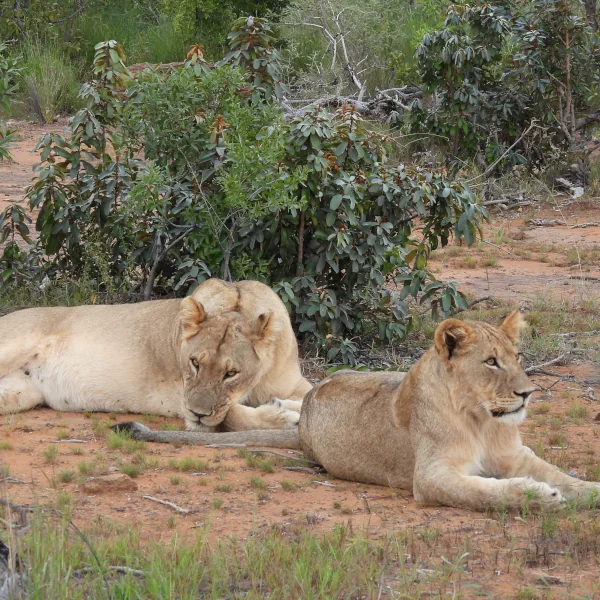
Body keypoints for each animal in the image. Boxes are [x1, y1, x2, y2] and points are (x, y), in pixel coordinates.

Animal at [0, 278, 310, 428]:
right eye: (194, 363)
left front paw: (287, 405)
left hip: (22, 394)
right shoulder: (182, 398)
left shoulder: (294, 383)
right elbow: (230, 414)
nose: (198, 414)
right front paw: (282, 416)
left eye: (231, 373)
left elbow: (311, 395)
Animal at [118, 310, 600, 510]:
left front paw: (585, 491)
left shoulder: (516, 456)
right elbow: (484, 492)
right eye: (491, 362)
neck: (482, 420)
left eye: (517, 357)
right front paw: (536, 496)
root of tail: (306, 421)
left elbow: (562, 475)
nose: (528, 393)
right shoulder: (430, 477)